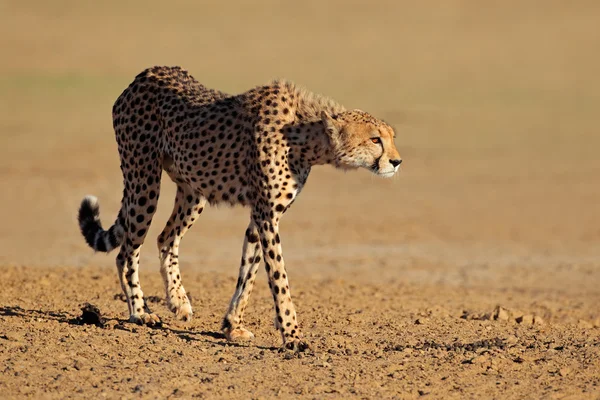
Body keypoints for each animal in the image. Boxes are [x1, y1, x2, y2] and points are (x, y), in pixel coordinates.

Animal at [77, 65, 400, 350]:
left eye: (391, 137)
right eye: (375, 139)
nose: (397, 161)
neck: (305, 137)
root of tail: (145, 74)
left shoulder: (261, 216)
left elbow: (249, 273)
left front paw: (233, 326)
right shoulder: (266, 216)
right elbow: (279, 278)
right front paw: (293, 337)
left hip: (194, 190)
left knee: (166, 237)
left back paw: (178, 302)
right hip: (144, 180)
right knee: (127, 252)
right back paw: (140, 312)